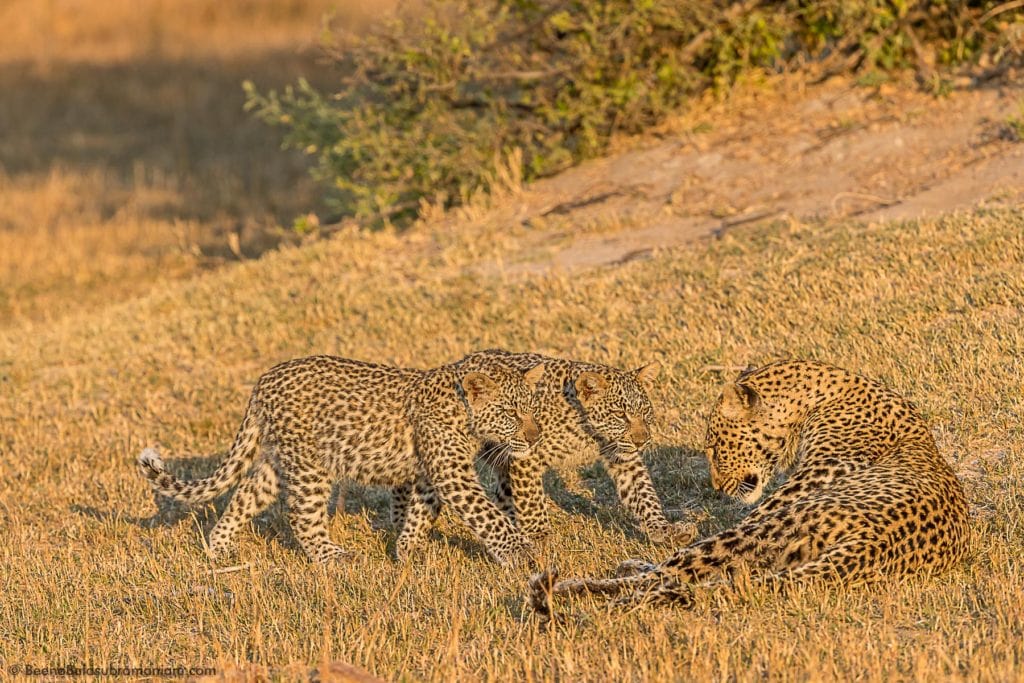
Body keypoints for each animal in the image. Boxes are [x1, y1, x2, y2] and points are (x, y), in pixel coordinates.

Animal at [142, 352, 552, 565]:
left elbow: (421, 512)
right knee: (302, 517)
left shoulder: (429, 473)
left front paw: (408, 553)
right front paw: (522, 553)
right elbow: (489, 517)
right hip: (310, 465)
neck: (464, 412)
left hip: (278, 459)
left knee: (245, 494)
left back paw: (219, 548)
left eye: (532, 408)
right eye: (511, 413)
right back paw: (333, 557)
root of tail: (263, 381)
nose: (534, 436)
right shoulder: (452, 473)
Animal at [454, 350, 700, 548]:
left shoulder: (624, 458)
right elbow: (531, 500)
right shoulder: (527, 456)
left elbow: (643, 492)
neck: (587, 430)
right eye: (620, 415)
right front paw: (540, 537)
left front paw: (664, 529)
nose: (641, 441)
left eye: (645, 411)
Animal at [532, 360, 970, 610]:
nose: (716, 486)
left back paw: (576, 590)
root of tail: (874, 546)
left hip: (765, 528)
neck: (822, 396)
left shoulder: (781, 500)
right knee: (701, 576)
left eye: (713, 445)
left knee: (670, 575)